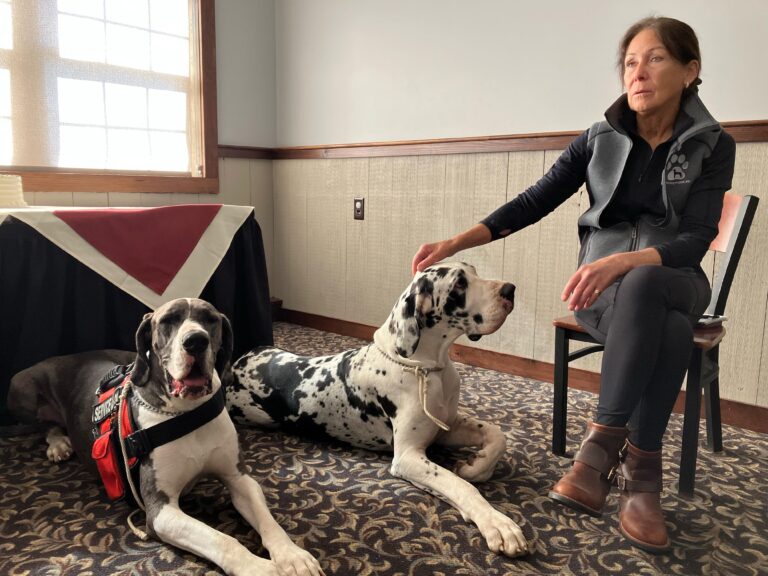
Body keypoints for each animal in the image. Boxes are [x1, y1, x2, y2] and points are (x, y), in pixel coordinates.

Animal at [10, 296, 326, 576]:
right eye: (168, 321)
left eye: (209, 319)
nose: (196, 341)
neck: (185, 413)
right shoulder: (160, 509)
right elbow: (223, 540)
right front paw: (261, 568)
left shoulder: (239, 478)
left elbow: (268, 520)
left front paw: (293, 557)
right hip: (21, 387)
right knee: (42, 425)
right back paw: (58, 444)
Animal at [225, 264, 532, 556]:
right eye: (459, 283)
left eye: (475, 272)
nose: (511, 289)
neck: (429, 366)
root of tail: (240, 360)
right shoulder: (407, 457)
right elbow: (459, 485)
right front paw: (496, 522)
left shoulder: (446, 426)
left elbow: (496, 436)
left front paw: (476, 466)